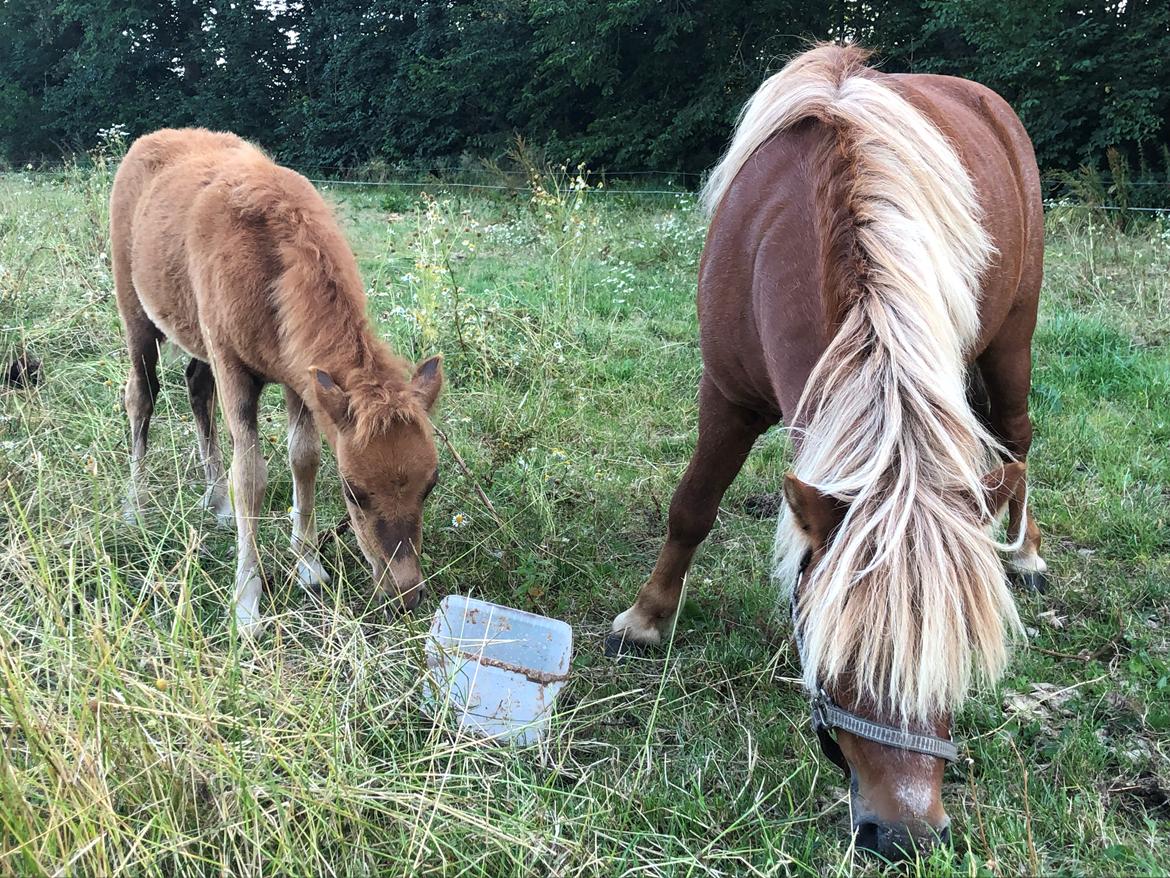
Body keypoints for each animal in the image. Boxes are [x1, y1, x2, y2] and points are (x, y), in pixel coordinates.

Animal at [110, 128, 442, 632]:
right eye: (353, 491)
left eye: (431, 485)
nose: (406, 594)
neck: (271, 264)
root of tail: (148, 141)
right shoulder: (233, 368)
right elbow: (250, 476)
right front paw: (247, 604)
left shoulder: (298, 378)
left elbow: (303, 457)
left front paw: (308, 563)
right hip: (136, 314)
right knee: (141, 395)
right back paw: (136, 504)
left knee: (195, 386)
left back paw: (216, 504)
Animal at [608, 46, 1048, 861]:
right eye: (841, 665)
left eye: (955, 669)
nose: (904, 835)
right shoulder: (728, 393)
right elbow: (692, 507)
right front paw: (647, 619)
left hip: (1012, 338)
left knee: (1019, 437)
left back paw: (1027, 551)